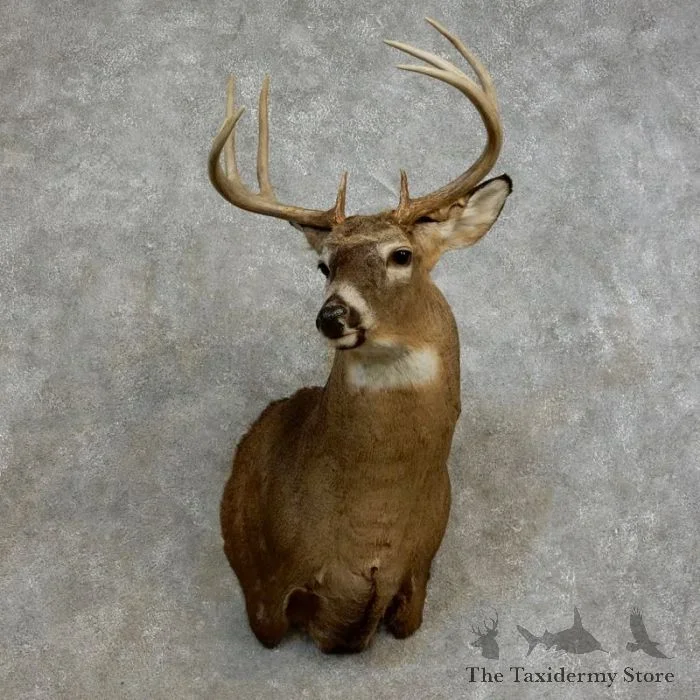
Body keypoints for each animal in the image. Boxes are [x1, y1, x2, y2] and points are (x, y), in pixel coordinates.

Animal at [209, 18, 512, 653]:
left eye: (402, 254)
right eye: (324, 266)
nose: (332, 316)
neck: (370, 539)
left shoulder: (418, 583)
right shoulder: (267, 590)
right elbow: (272, 625)